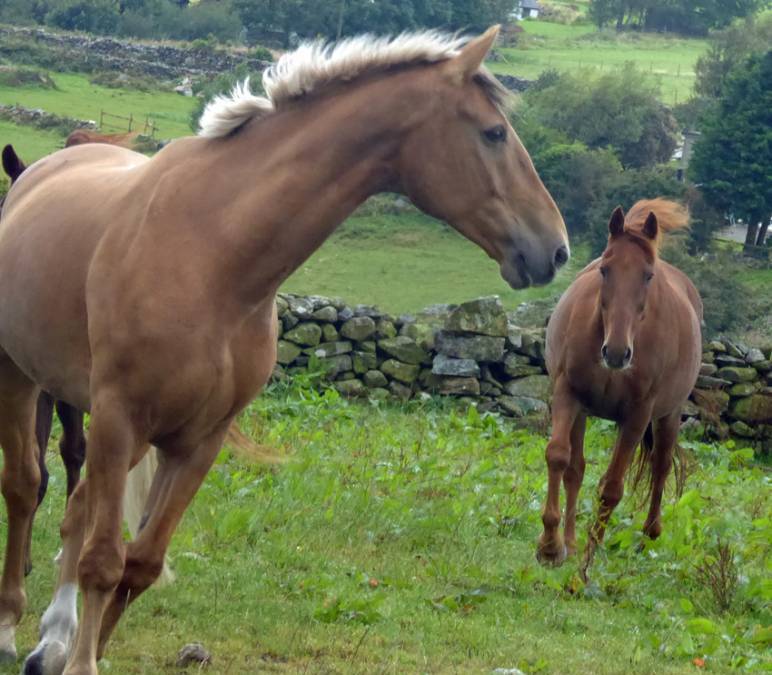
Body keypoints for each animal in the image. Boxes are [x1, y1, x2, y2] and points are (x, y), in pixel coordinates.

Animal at [536, 198, 700, 580]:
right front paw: (551, 545)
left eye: (648, 275)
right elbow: (559, 458)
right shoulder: (567, 394)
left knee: (661, 466)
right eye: (605, 270)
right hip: (583, 412)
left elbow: (611, 489)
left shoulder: (637, 416)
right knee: (575, 469)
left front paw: (585, 569)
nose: (616, 352)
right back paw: (570, 541)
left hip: (669, 414)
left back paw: (649, 533)